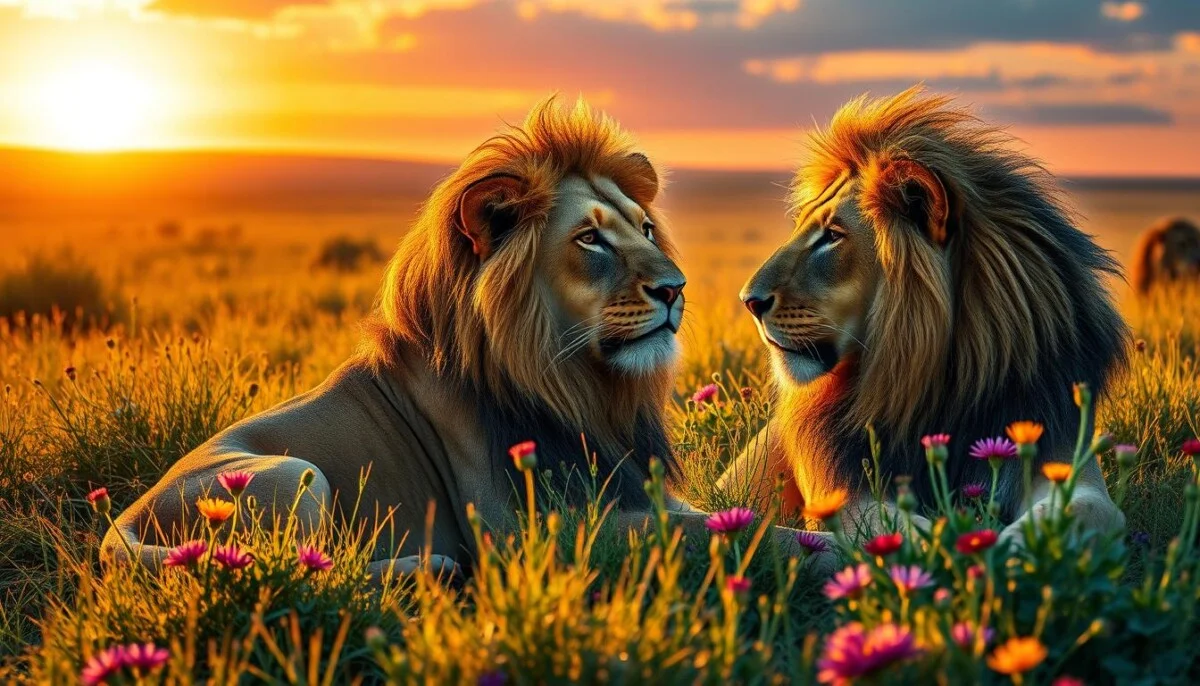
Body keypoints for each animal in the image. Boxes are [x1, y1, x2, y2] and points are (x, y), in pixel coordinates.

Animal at [103, 98, 807, 578]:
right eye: (590, 239)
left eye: (647, 229)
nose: (677, 288)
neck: (577, 386)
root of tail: (119, 529)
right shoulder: (537, 533)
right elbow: (741, 535)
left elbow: (730, 518)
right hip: (291, 476)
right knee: (314, 571)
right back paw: (433, 572)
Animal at [720, 87, 1130, 547]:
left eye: (833, 236)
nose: (748, 301)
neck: (941, 380)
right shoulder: (841, 489)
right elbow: (888, 526)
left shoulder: (1063, 453)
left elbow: (1088, 508)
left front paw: (1017, 546)